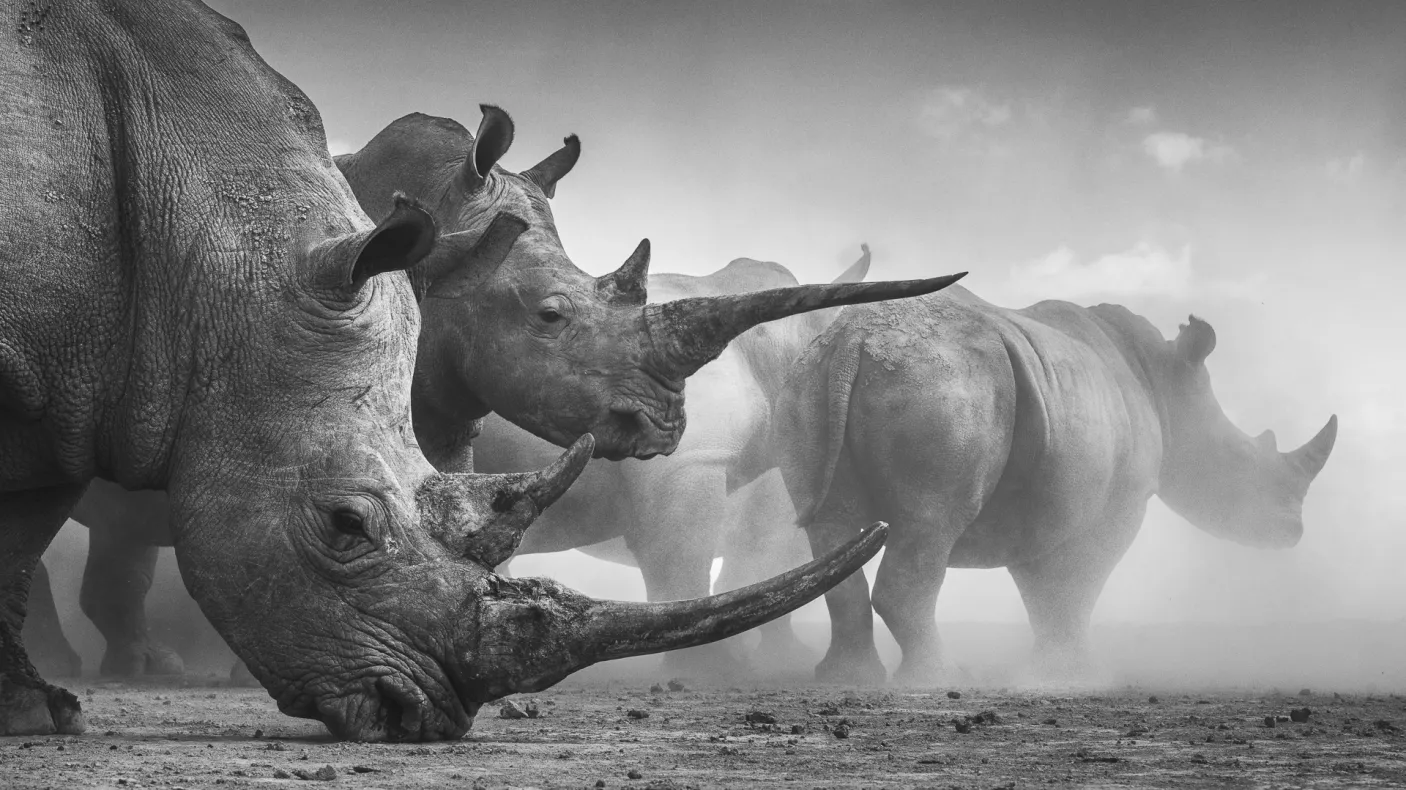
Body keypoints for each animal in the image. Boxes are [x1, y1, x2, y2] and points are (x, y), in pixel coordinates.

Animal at [773, 287, 1338, 684]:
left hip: (810, 384)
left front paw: (1050, 673)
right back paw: (940, 681)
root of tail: (852, 342)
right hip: (942, 385)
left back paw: (847, 680)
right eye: (1246, 462)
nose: (1292, 531)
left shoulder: (1046, 501)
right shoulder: (1119, 505)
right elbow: (1076, 586)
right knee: (932, 523)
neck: (1166, 385)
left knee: (833, 533)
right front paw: (1081, 678)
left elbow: (1044, 592)